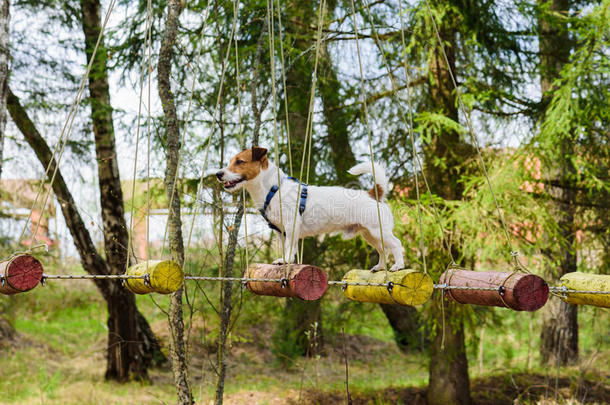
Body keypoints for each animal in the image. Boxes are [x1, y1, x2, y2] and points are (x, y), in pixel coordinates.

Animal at [214, 146, 404, 272]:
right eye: (230, 162)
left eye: (240, 162)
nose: (218, 174)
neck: (273, 189)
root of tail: (373, 194)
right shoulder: (280, 231)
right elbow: (285, 247)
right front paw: (283, 259)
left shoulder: (291, 226)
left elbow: (290, 247)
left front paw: (287, 260)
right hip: (369, 234)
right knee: (383, 249)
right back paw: (379, 266)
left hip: (379, 230)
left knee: (396, 244)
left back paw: (398, 265)